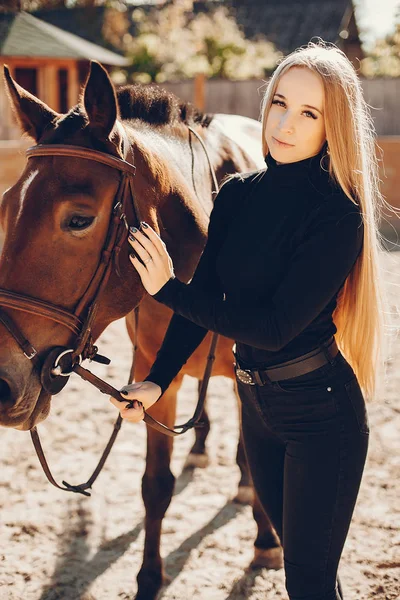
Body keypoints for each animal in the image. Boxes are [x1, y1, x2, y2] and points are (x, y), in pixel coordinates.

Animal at [0, 62, 282, 600]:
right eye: (5, 209)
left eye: (79, 219)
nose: (3, 383)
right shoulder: (154, 374)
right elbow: (155, 484)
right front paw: (150, 578)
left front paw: (265, 543)